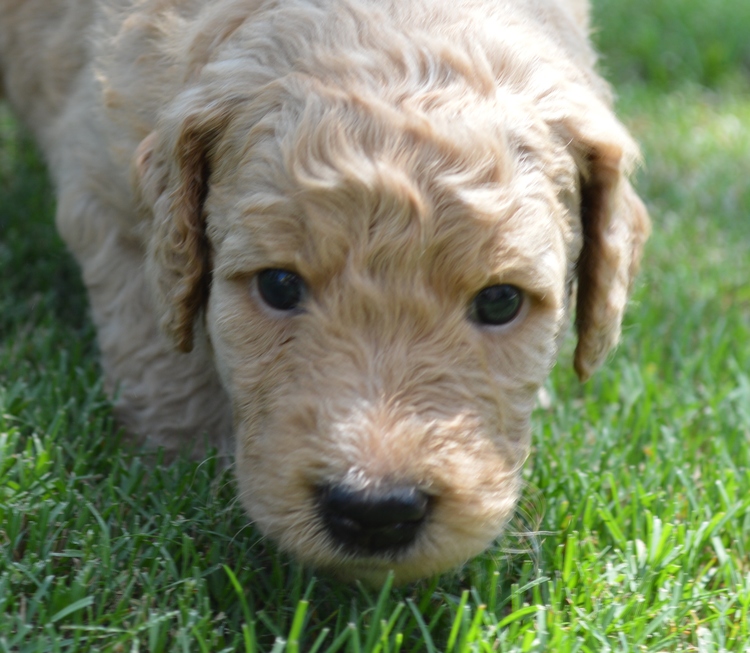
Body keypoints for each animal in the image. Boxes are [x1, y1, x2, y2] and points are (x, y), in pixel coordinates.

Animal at [0, 0, 648, 580]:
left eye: (500, 301)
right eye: (278, 285)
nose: (375, 512)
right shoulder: (108, 195)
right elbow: (159, 347)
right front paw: (182, 469)